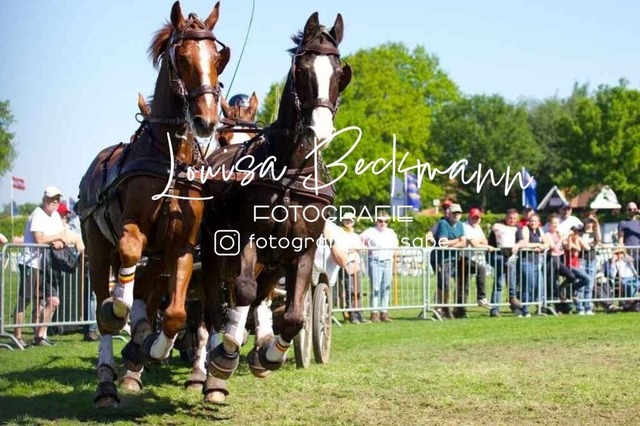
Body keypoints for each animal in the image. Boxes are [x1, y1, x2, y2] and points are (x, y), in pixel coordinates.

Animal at [76, 1, 230, 408]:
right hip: (96, 248)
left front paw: (154, 347)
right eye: (182, 56)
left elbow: (176, 314)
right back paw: (107, 381)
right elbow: (129, 255)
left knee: (153, 295)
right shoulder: (133, 231)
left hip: (160, 259)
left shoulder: (181, 247)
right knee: (105, 304)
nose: (206, 120)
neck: (172, 161)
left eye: (217, 57)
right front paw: (121, 311)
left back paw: (140, 345)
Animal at [200, 11, 351, 395]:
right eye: (302, 68)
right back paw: (214, 359)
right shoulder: (246, 238)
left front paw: (268, 355)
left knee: (262, 298)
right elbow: (241, 291)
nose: (320, 131)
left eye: (338, 72)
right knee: (214, 305)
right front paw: (226, 356)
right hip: (213, 251)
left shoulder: (303, 249)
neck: (290, 172)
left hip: (273, 263)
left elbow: (296, 315)